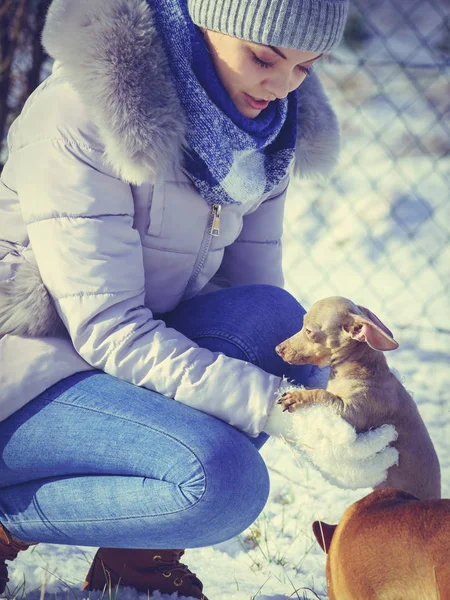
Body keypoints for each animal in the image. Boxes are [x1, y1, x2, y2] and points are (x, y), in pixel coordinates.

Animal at [276, 298, 442, 500]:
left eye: (309, 331)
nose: (278, 349)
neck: (359, 369)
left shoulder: (352, 413)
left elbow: (323, 394)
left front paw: (298, 396)